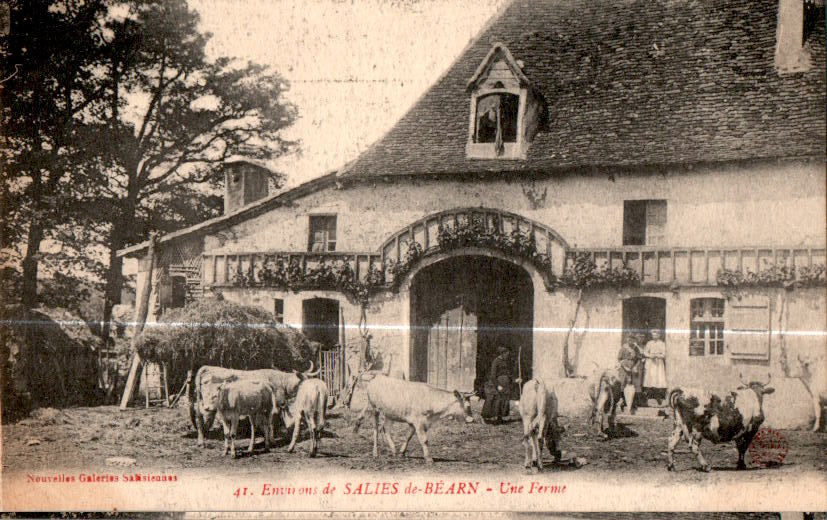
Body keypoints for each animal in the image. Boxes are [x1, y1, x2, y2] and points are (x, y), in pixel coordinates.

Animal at [189, 362, 318, 446]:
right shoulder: (274, 406)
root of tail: (206, 367)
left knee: (200, 418)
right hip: (208, 403)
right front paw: (271, 440)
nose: (312, 389)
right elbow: (271, 422)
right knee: (202, 418)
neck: (281, 382)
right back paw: (201, 441)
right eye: (304, 381)